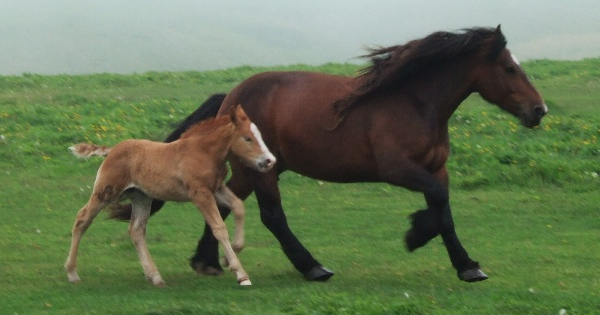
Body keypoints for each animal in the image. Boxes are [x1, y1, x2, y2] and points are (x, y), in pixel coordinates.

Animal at [63, 105, 274, 286]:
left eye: (260, 135)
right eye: (247, 138)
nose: (269, 161)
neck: (203, 152)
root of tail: (113, 149)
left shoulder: (217, 188)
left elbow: (238, 206)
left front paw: (232, 253)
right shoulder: (200, 194)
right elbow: (219, 228)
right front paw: (241, 274)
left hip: (141, 197)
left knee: (136, 230)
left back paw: (155, 276)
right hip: (106, 192)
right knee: (82, 219)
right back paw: (72, 273)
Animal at [111, 26, 544, 284]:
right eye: (509, 68)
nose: (538, 110)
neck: (414, 101)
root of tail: (231, 99)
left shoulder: (437, 169)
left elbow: (445, 211)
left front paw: (467, 265)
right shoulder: (398, 168)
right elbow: (437, 205)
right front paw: (416, 234)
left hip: (255, 168)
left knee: (223, 203)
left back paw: (208, 262)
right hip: (263, 172)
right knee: (272, 216)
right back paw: (312, 266)